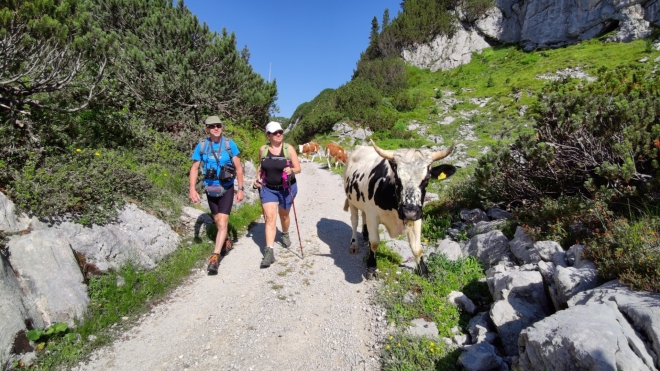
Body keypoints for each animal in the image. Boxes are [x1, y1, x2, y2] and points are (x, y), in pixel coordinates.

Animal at [342, 140, 456, 280]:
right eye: (397, 178)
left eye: (427, 179)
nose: (409, 212)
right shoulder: (373, 215)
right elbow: (374, 242)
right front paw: (371, 267)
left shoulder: (417, 217)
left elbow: (417, 247)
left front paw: (424, 271)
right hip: (351, 200)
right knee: (354, 221)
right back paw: (354, 244)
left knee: (363, 216)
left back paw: (365, 234)